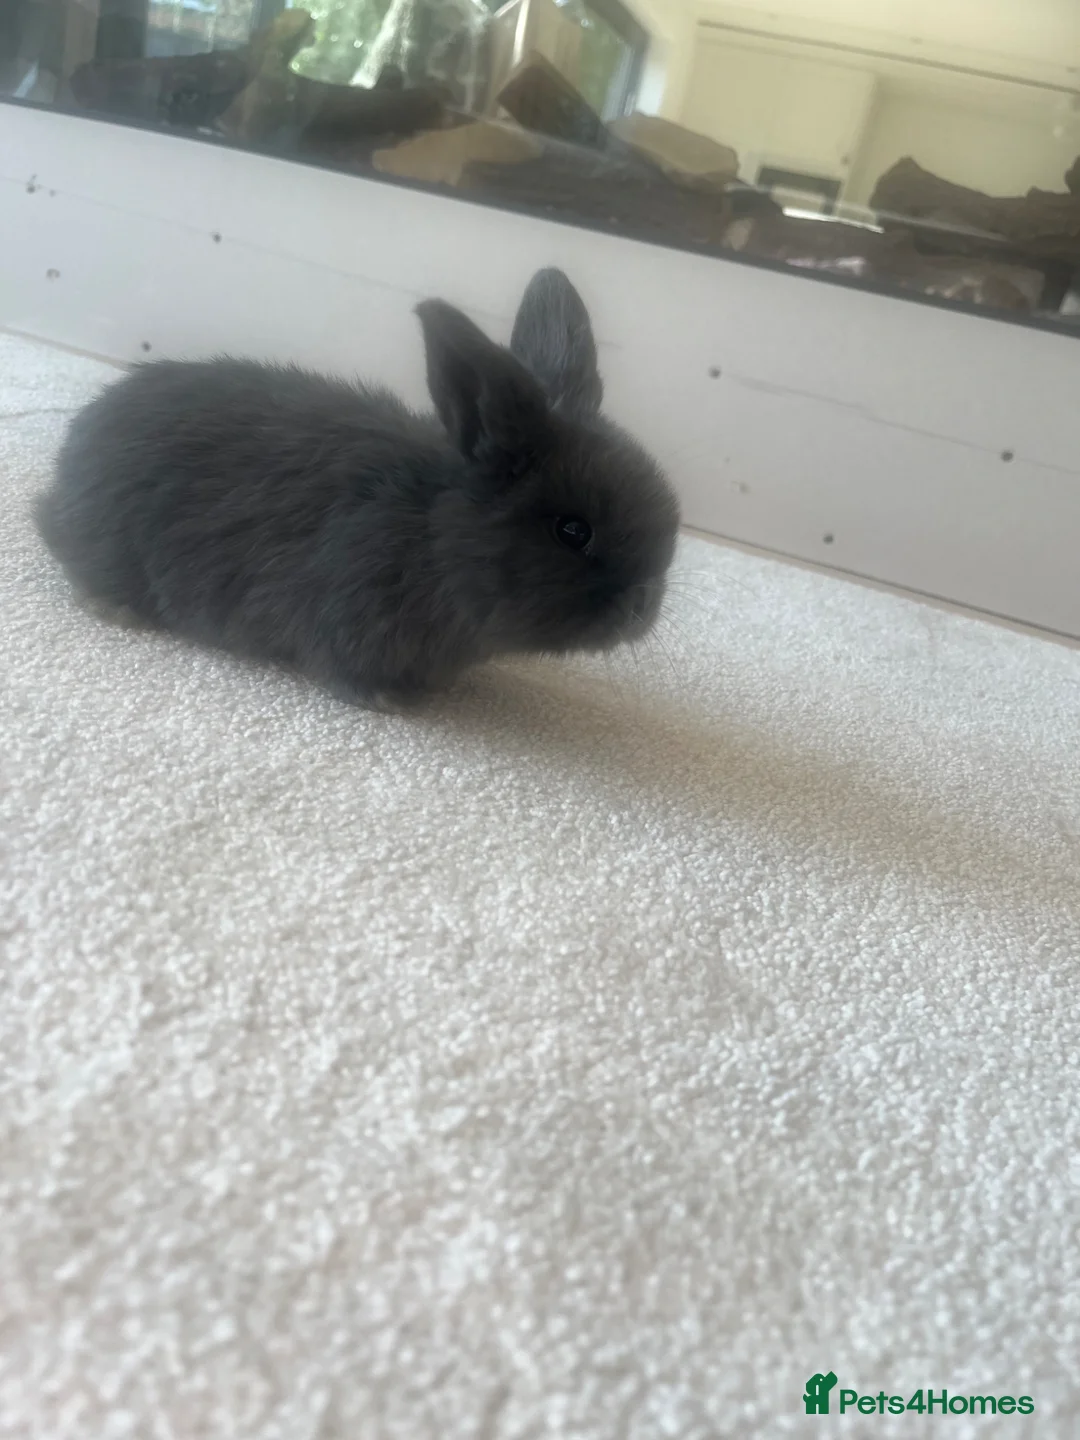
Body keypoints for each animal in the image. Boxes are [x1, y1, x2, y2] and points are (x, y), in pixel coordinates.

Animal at [35, 268, 680, 709]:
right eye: (573, 531)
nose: (643, 606)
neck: (432, 532)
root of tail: (60, 480)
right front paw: (394, 702)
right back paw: (117, 608)